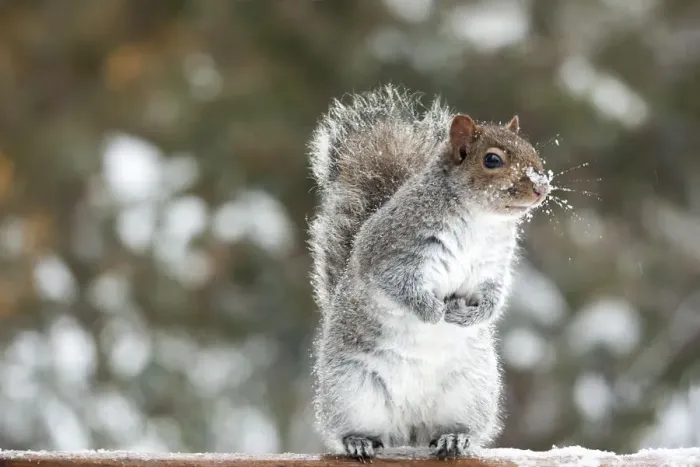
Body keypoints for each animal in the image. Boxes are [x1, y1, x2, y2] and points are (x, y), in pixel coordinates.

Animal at [307, 85, 550, 461]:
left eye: (533, 151)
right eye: (492, 160)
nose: (542, 187)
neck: (481, 219)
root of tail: (409, 428)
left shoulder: (492, 267)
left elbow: (494, 298)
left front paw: (470, 315)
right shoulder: (394, 254)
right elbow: (400, 287)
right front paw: (433, 311)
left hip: (469, 392)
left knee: (451, 428)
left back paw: (454, 439)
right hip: (351, 389)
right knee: (357, 428)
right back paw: (358, 440)